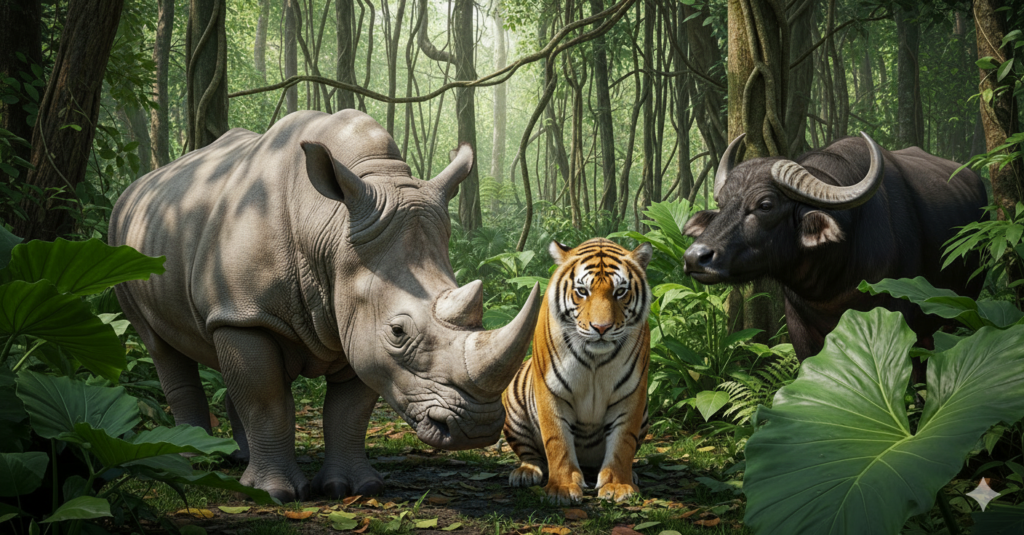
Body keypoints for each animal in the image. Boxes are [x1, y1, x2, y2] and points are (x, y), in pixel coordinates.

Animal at [502, 237, 653, 505]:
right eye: (583, 291)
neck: (595, 358)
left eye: (620, 292)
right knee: (530, 454)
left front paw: (617, 485)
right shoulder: (550, 390)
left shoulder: (632, 394)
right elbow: (557, 442)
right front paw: (561, 488)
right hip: (513, 407)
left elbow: (623, 442)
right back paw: (525, 473)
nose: (601, 328)